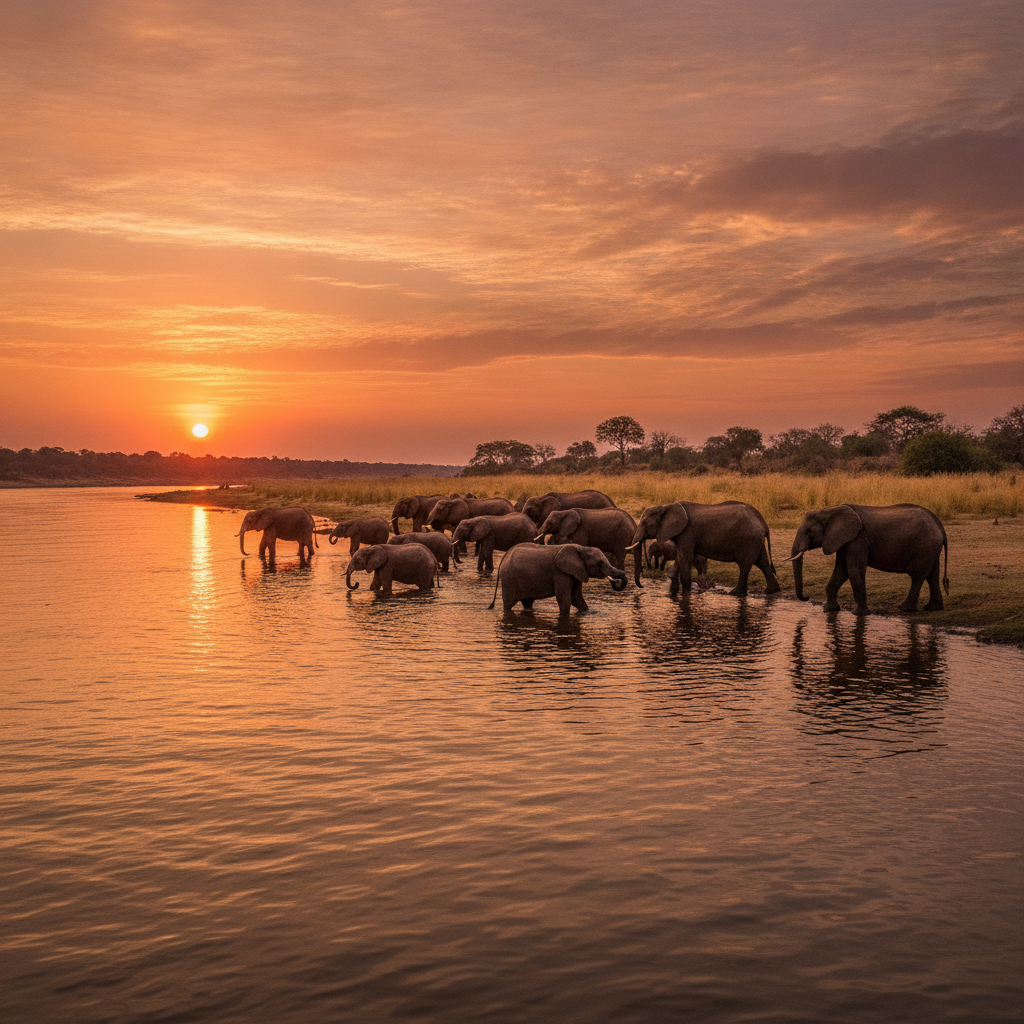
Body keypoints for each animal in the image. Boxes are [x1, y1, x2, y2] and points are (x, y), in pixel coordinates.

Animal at [488, 542, 629, 615]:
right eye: (599, 563)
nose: (616, 581)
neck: (580, 548)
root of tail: (505, 556)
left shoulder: (576, 572)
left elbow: (576, 597)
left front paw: (585, 612)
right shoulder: (560, 571)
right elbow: (564, 598)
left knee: (527, 602)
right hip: (509, 579)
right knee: (508, 604)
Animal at [628, 500, 779, 595]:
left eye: (645, 524)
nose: (642, 586)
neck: (666, 506)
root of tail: (764, 523)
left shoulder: (687, 532)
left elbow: (685, 557)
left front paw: (685, 594)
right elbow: (680, 558)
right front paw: (673, 593)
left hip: (748, 539)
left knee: (745, 565)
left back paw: (736, 593)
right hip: (755, 539)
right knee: (762, 562)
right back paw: (771, 591)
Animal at [787, 503, 949, 616]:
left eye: (809, 532)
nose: (807, 597)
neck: (831, 509)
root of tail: (941, 527)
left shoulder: (858, 539)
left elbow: (854, 570)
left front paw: (859, 614)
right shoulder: (844, 540)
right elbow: (842, 570)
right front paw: (830, 609)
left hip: (924, 545)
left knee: (917, 575)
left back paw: (905, 609)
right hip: (930, 547)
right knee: (932, 575)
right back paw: (932, 608)